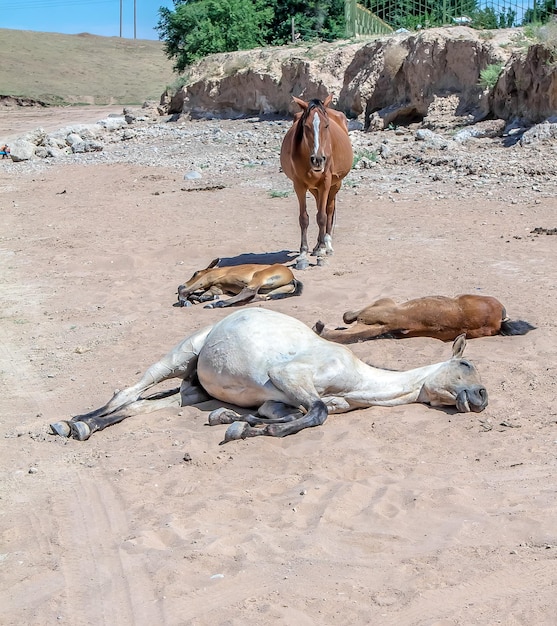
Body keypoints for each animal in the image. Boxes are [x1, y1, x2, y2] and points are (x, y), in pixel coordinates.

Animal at [52, 308, 486, 444]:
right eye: (465, 365)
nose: (482, 398)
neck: (359, 381)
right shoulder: (288, 375)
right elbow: (315, 415)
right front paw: (244, 429)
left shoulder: (278, 401)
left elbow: (298, 414)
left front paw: (238, 423)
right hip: (178, 356)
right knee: (127, 392)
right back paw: (72, 423)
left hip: (193, 392)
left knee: (138, 407)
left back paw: (84, 426)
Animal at [278, 95, 352, 268]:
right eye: (306, 126)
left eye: (326, 125)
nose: (318, 160)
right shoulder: (299, 185)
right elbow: (304, 218)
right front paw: (303, 254)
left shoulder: (326, 182)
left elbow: (323, 216)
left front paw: (322, 253)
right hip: (314, 188)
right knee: (320, 206)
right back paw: (318, 245)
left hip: (335, 184)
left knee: (329, 210)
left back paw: (327, 245)